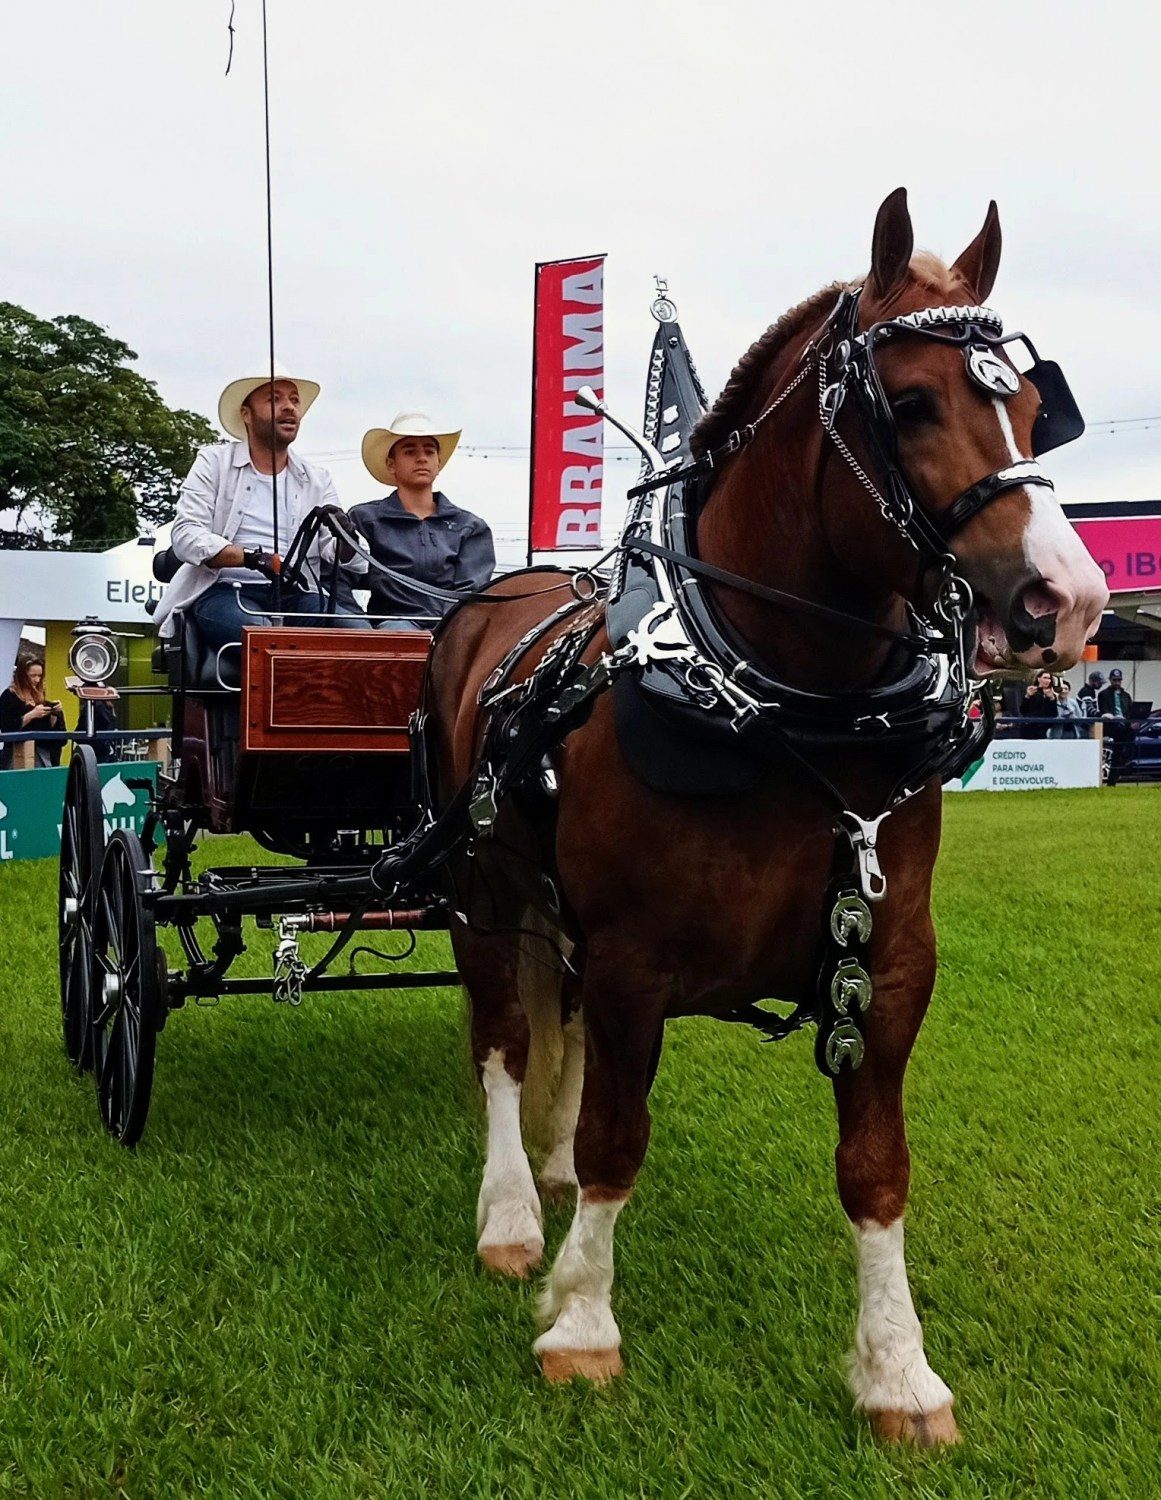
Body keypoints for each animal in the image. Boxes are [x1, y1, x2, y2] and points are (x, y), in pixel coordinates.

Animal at [426, 193, 1110, 1446]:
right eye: (911, 402)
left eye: (1039, 410)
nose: (1067, 602)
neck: (784, 712)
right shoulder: (636, 959)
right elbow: (618, 1140)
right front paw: (582, 1322)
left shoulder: (891, 966)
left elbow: (876, 1167)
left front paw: (898, 1372)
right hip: (483, 889)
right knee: (503, 1040)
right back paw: (512, 1216)